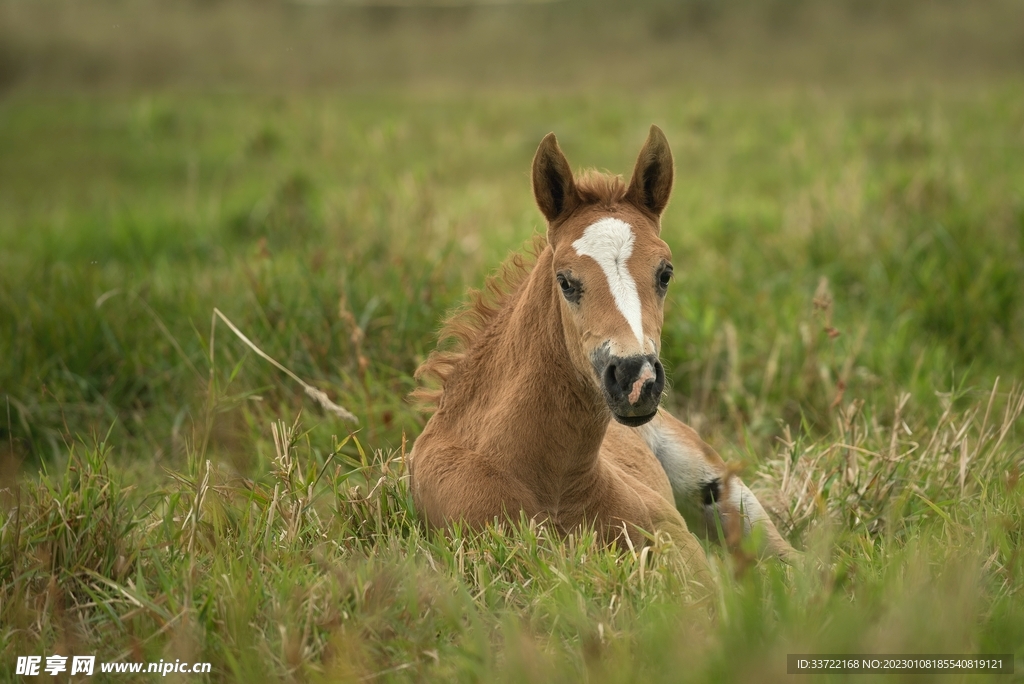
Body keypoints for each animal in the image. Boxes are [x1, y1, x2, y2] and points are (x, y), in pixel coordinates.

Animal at [410, 126, 795, 587]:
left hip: (720, 489)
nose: (636, 379)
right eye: (566, 281)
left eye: (665, 273)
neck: (550, 483)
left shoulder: (671, 533)